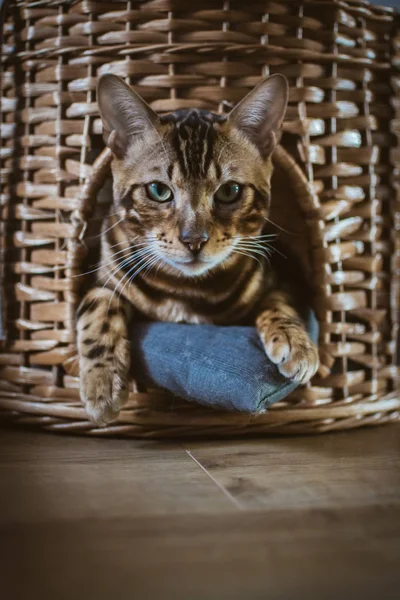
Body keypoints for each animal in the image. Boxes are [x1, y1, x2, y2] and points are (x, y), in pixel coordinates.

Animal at [76, 72, 318, 424]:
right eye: (158, 190)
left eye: (230, 191)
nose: (194, 239)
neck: (187, 291)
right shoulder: (105, 275)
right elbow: (96, 309)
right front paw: (101, 383)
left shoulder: (279, 276)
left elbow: (279, 302)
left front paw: (296, 341)